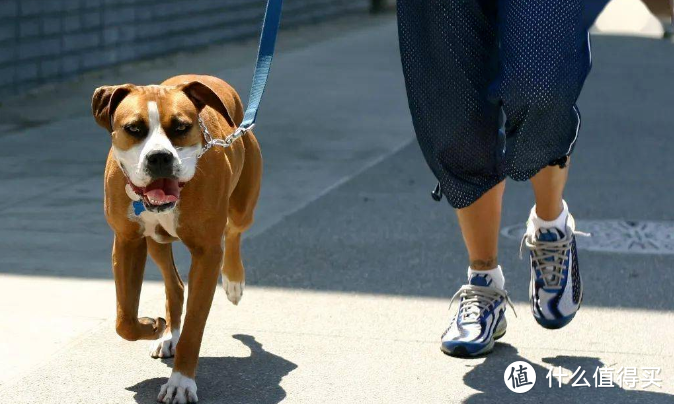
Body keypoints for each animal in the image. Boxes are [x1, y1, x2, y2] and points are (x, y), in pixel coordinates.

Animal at [91, 74, 262, 402]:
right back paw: (169, 334)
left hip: (242, 207)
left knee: (234, 232)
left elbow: (195, 326)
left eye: (181, 127)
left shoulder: (207, 254)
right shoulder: (127, 242)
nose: (159, 157)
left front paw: (181, 382)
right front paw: (153, 326)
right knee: (175, 285)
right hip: (156, 243)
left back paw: (234, 281)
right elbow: (124, 320)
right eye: (134, 129)